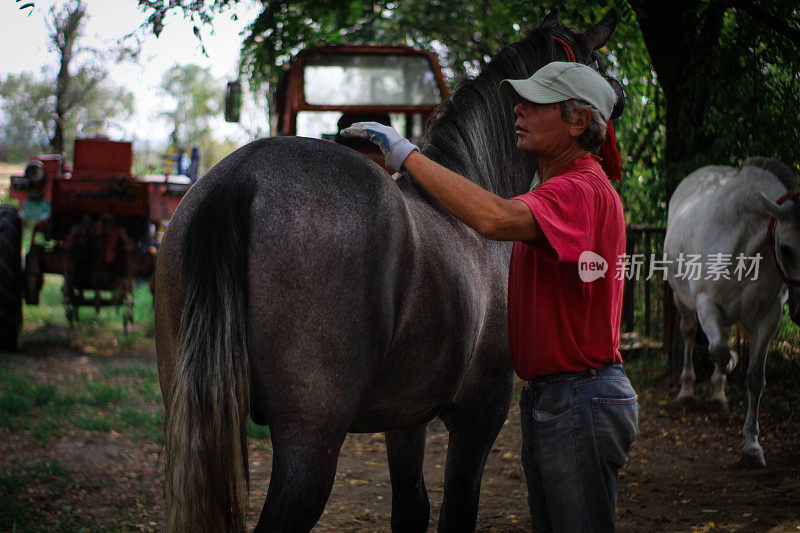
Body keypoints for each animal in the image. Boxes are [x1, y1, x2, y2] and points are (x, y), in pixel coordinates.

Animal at [664, 156, 800, 468]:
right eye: (786, 249)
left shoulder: (768, 318)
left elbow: (755, 378)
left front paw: (752, 447)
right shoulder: (706, 304)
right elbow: (718, 350)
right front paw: (733, 360)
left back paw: (718, 395)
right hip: (683, 301)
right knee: (690, 335)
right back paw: (687, 392)